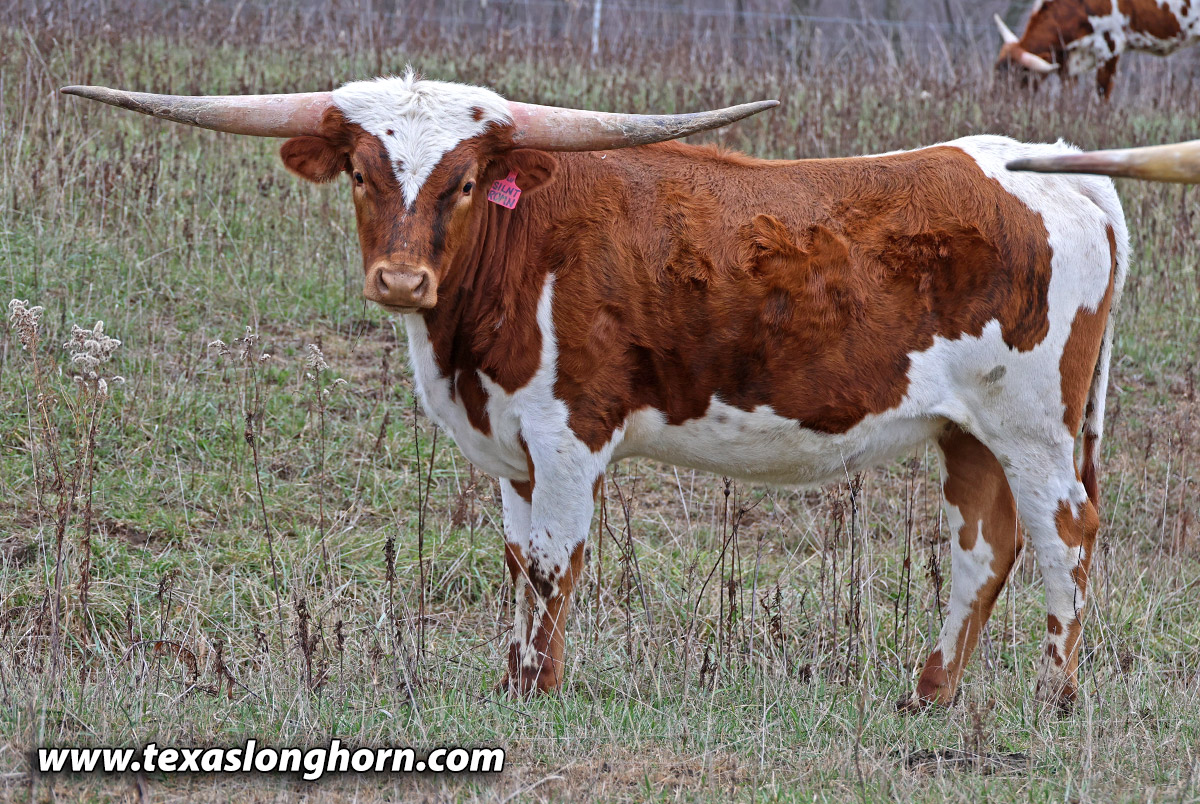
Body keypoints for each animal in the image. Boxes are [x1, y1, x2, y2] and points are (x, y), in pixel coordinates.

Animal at [62, 72, 1129, 711]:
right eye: (363, 173)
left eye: (463, 181)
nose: (401, 280)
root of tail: (1042, 166)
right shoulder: (510, 447)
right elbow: (515, 559)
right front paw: (516, 677)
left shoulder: (569, 433)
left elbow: (554, 563)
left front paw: (538, 687)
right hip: (968, 431)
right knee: (980, 548)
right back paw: (928, 694)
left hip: (1035, 427)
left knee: (1063, 535)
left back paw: (1055, 697)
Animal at [994, 1, 1200, 99]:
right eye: (997, 72)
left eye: (1021, 75)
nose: (1000, 103)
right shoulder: (1069, 62)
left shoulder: (1111, 45)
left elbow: (1102, 92)